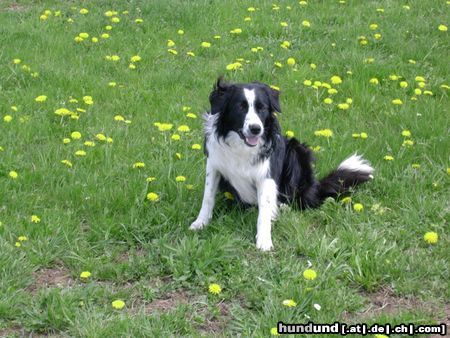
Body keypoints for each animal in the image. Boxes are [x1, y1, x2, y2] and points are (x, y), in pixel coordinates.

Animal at [189, 77, 372, 251]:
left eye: (261, 108)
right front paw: (200, 222)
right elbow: (208, 197)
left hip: (296, 151)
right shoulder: (213, 164)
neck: (241, 147)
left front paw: (264, 240)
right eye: (240, 107)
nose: (256, 129)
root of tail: (316, 187)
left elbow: (264, 210)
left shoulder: (267, 174)